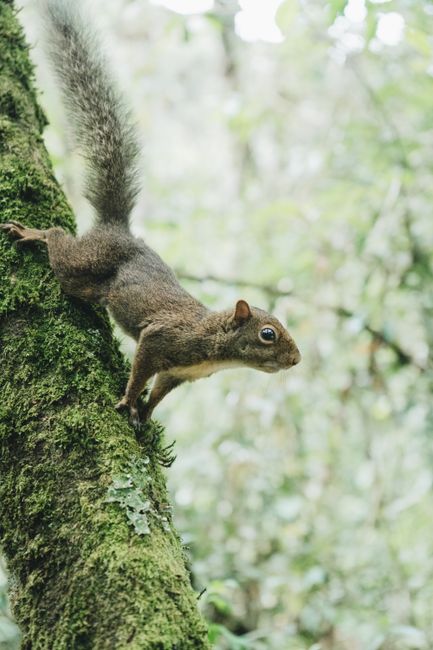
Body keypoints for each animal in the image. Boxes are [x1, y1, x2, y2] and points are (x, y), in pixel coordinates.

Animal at [1, 1, 301, 428]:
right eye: (268, 335)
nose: (296, 359)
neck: (213, 345)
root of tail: (117, 227)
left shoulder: (178, 374)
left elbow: (158, 393)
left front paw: (144, 415)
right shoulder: (160, 338)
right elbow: (140, 370)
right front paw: (129, 401)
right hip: (83, 266)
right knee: (60, 240)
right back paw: (34, 234)